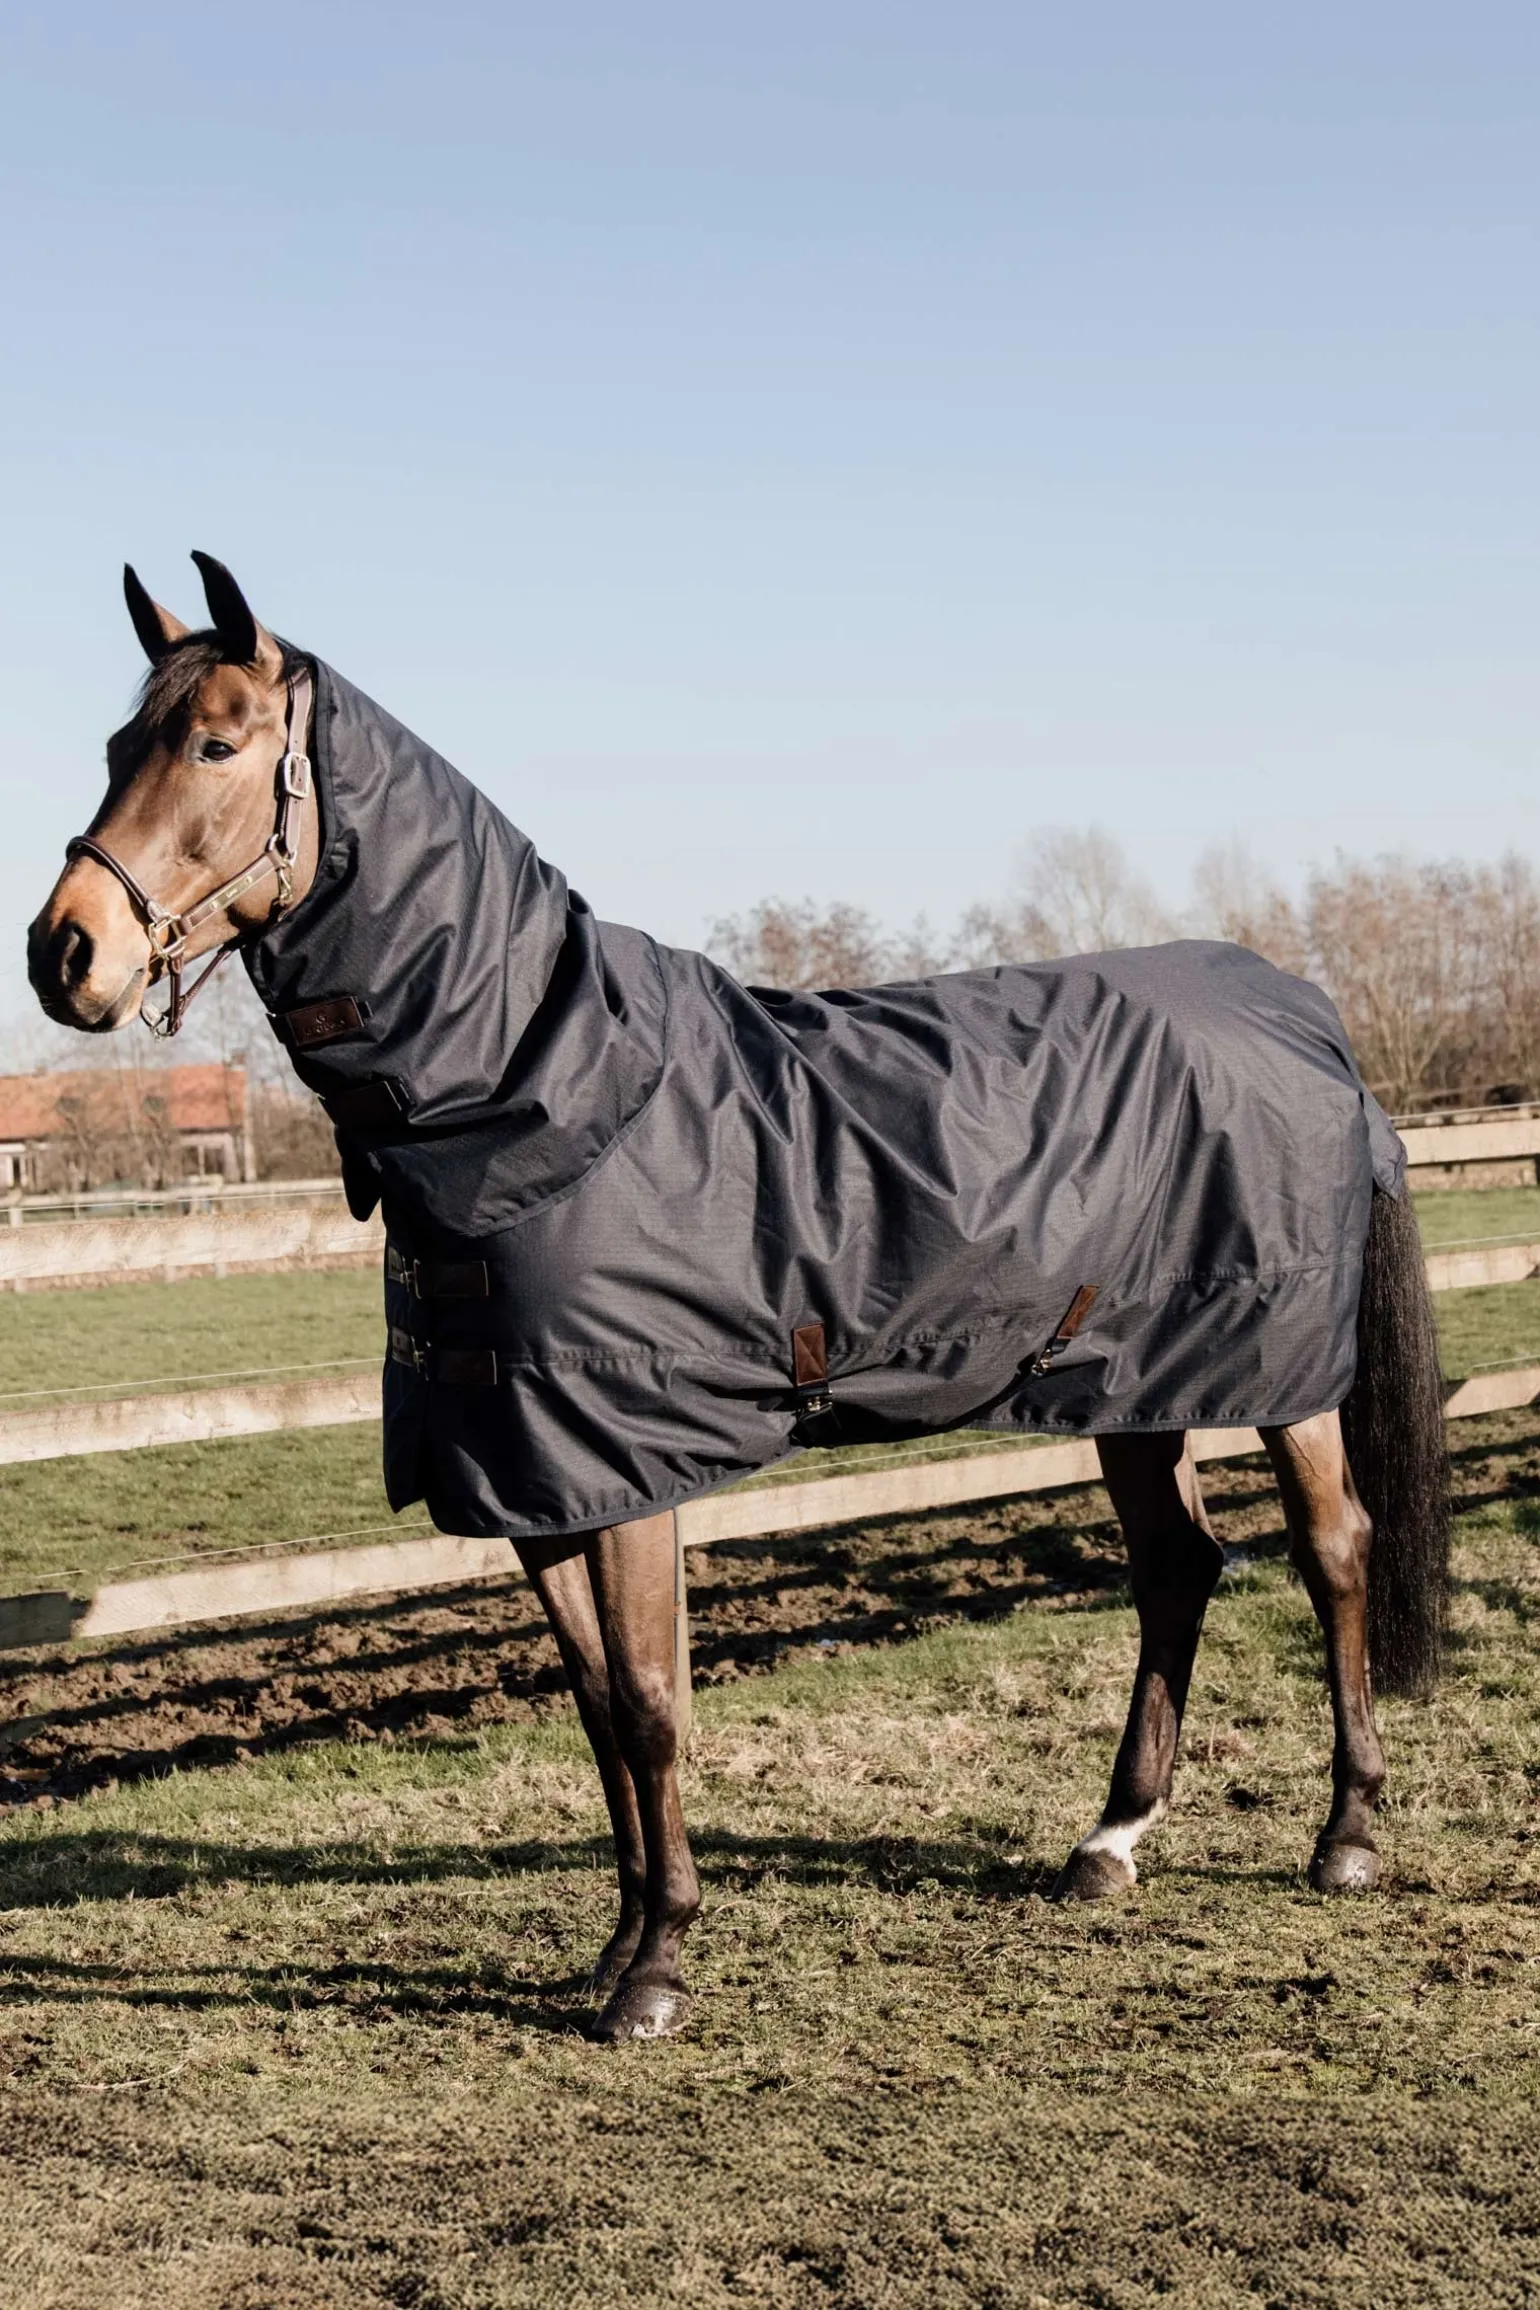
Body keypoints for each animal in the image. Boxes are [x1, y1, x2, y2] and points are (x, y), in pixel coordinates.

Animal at [28, 554, 1450, 2042]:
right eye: (120, 745)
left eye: (216, 746)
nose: (65, 953)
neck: (549, 1086)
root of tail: (1302, 1009)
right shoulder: (535, 1474)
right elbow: (597, 1703)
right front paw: (611, 1948)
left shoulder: (628, 1462)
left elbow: (654, 1700)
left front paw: (657, 1970)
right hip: (1128, 1382)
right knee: (1176, 1568)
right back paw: (1108, 1841)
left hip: (1280, 1379)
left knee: (1333, 1549)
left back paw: (1345, 1835)